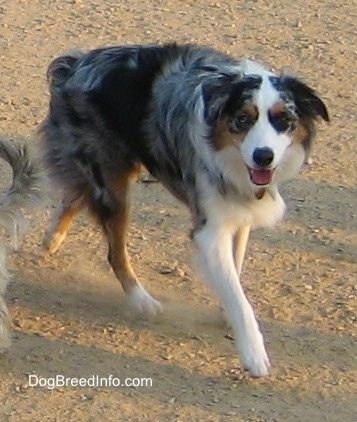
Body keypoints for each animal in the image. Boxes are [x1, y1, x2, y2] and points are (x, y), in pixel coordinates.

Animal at [39, 44, 328, 378]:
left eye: (283, 119)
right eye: (244, 119)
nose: (263, 156)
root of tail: (74, 64)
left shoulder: (240, 209)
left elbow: (235, 268)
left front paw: (226, 309)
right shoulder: (210, 229)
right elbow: (238, 296)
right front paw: (254, 354)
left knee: (75, 195)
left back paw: (53, 237)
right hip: (113, 182)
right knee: (115, 252)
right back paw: (143, 301)